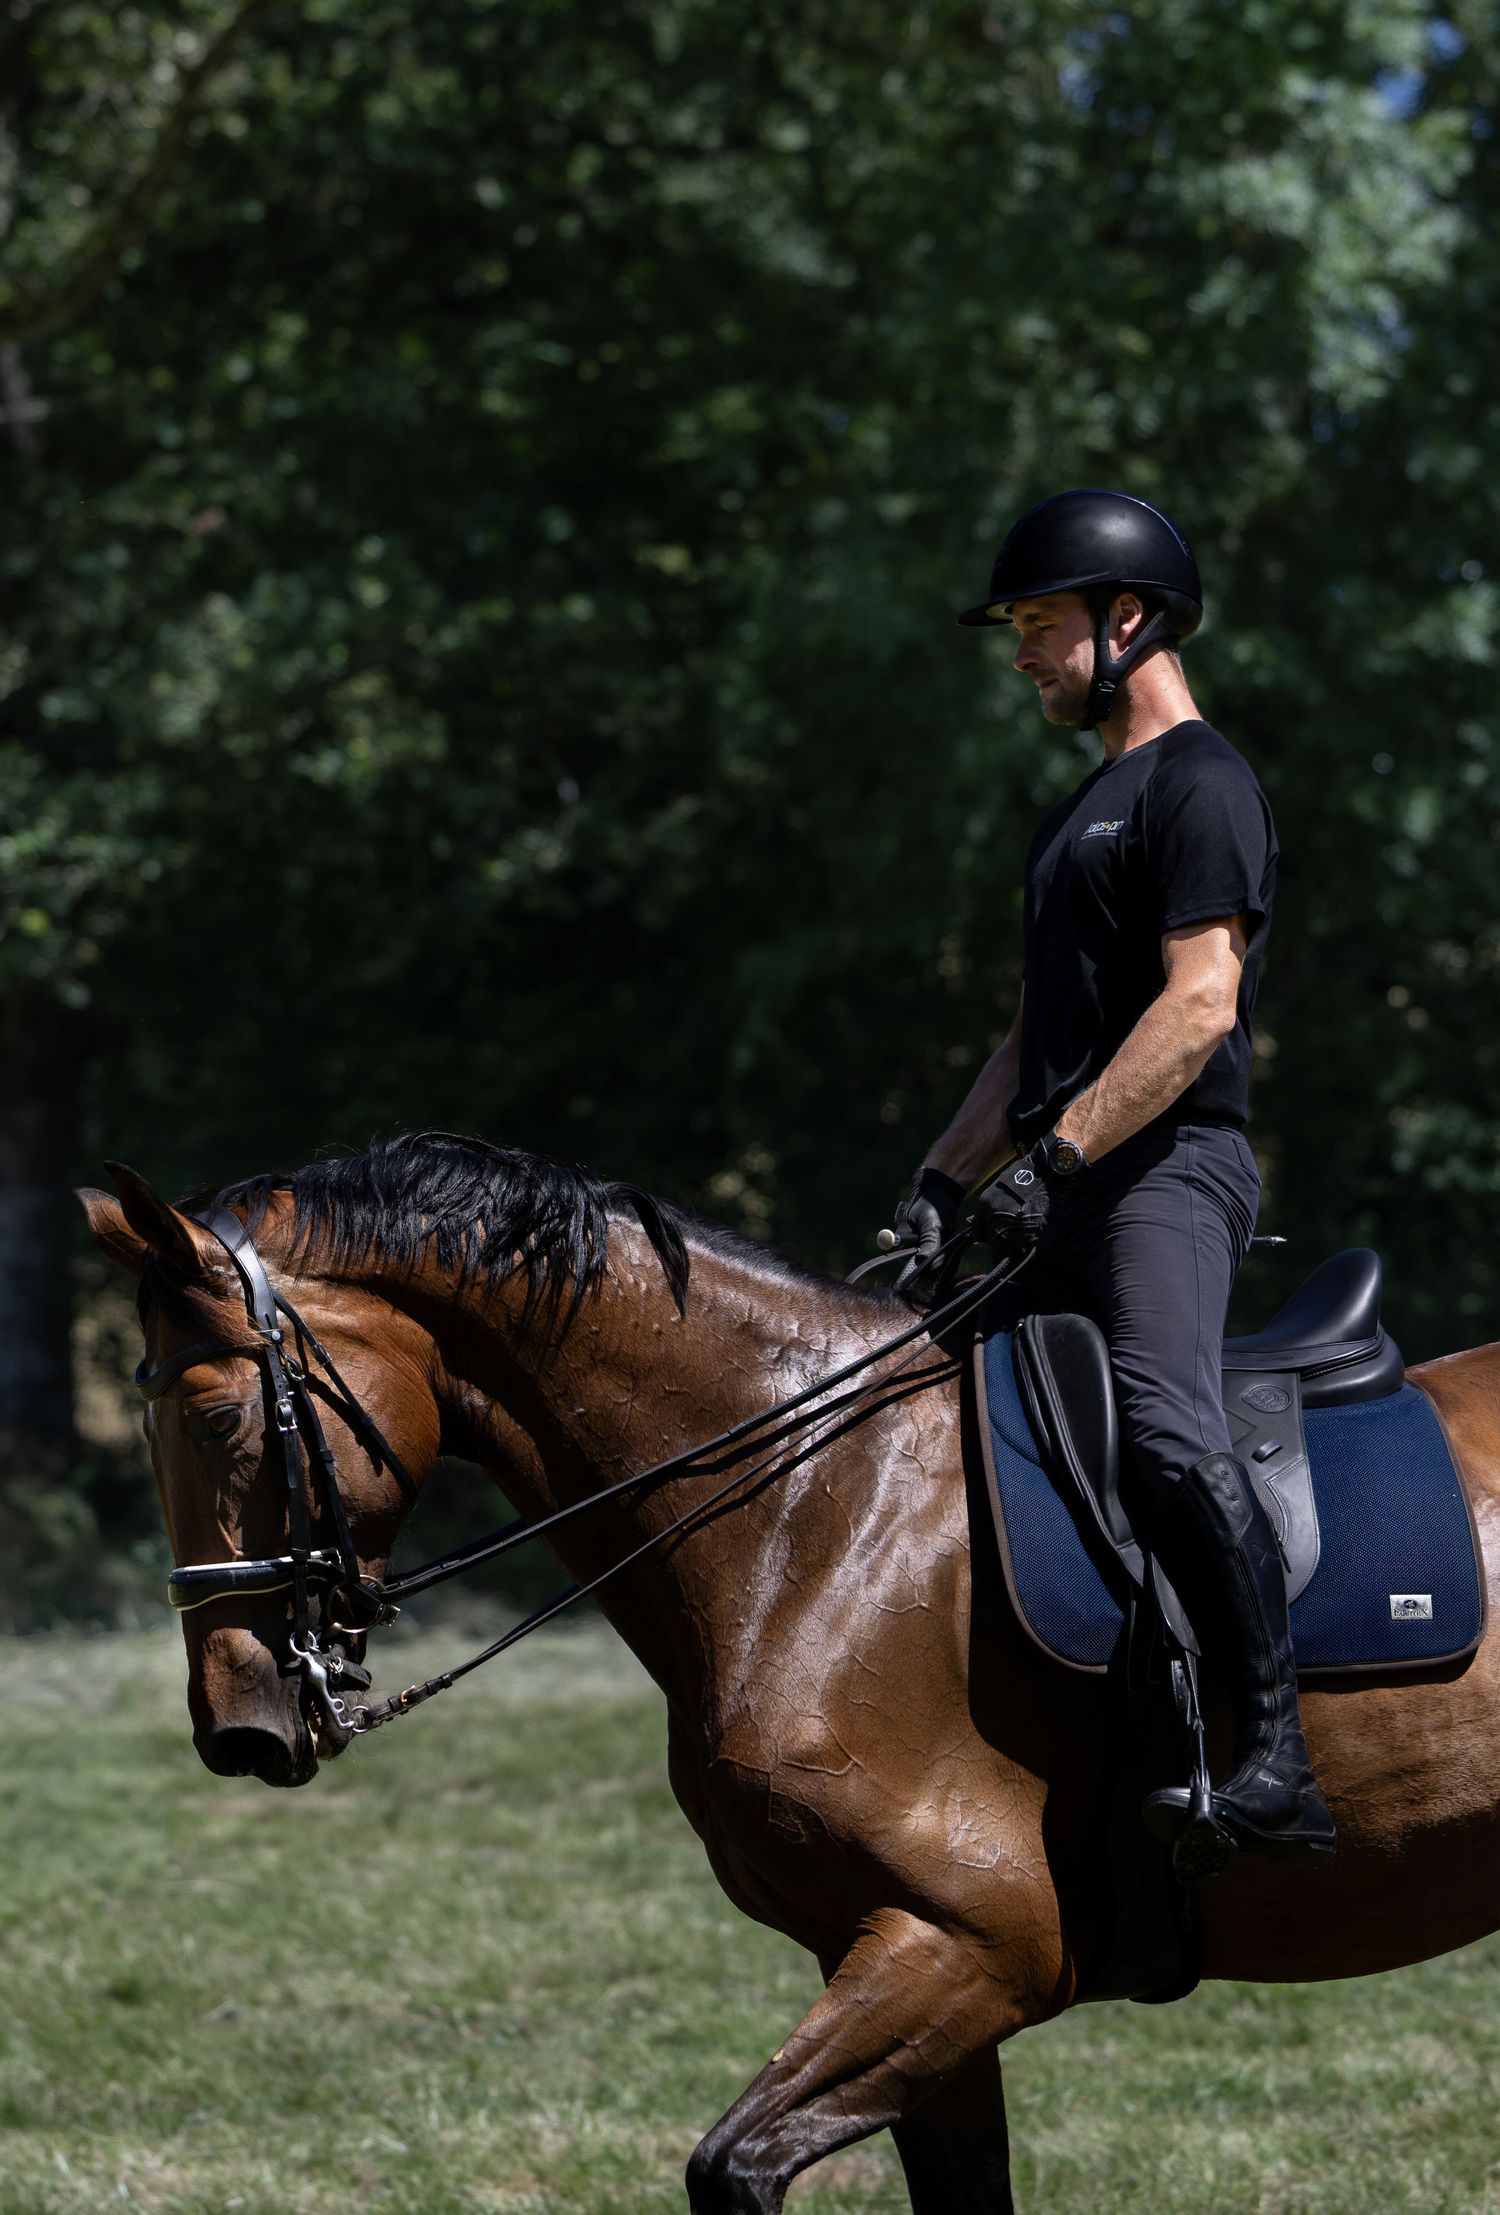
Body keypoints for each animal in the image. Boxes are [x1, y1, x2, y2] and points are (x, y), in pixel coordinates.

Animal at [79, 1131, 1500, 2215]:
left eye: (218, 1416)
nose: (238, 1723)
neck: (814, 1502)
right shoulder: (897, 1959)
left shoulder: (976, 1945)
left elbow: (733, 2167)